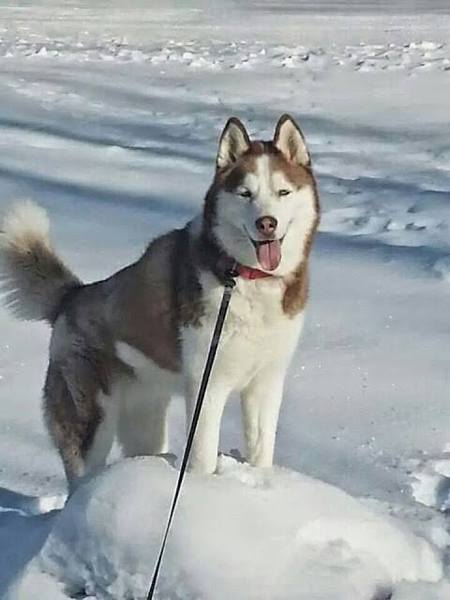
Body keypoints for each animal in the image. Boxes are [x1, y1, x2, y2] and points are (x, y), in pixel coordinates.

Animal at [0, 113, 318, 492]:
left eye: (283, 192)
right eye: (246, 194)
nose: (266, 223)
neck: (248, 278)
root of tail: (72, 297)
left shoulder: (265, 382)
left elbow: (261, 449)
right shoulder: (206, 385)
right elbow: (203, 454)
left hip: (146, 421)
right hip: (89, 421)